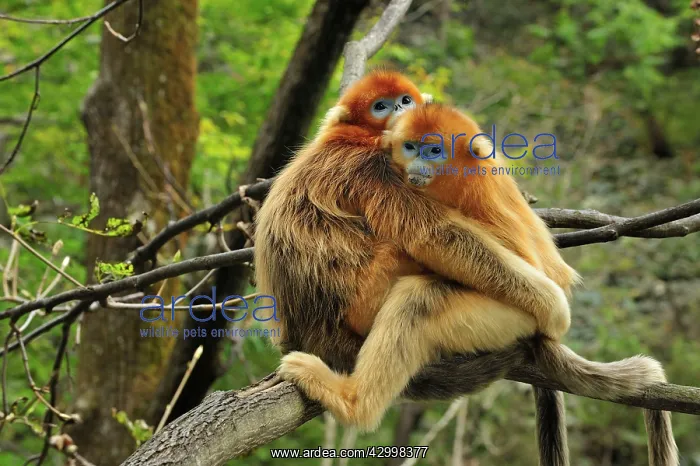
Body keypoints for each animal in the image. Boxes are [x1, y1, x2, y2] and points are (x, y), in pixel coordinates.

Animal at [270, 101, 677, 465]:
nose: (418, 164)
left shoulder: (480, 188)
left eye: (435, 150)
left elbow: (448, 238)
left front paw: (555, 308)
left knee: (419, 299)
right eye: (411, 147)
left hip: (505, 318)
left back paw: (353, 403)